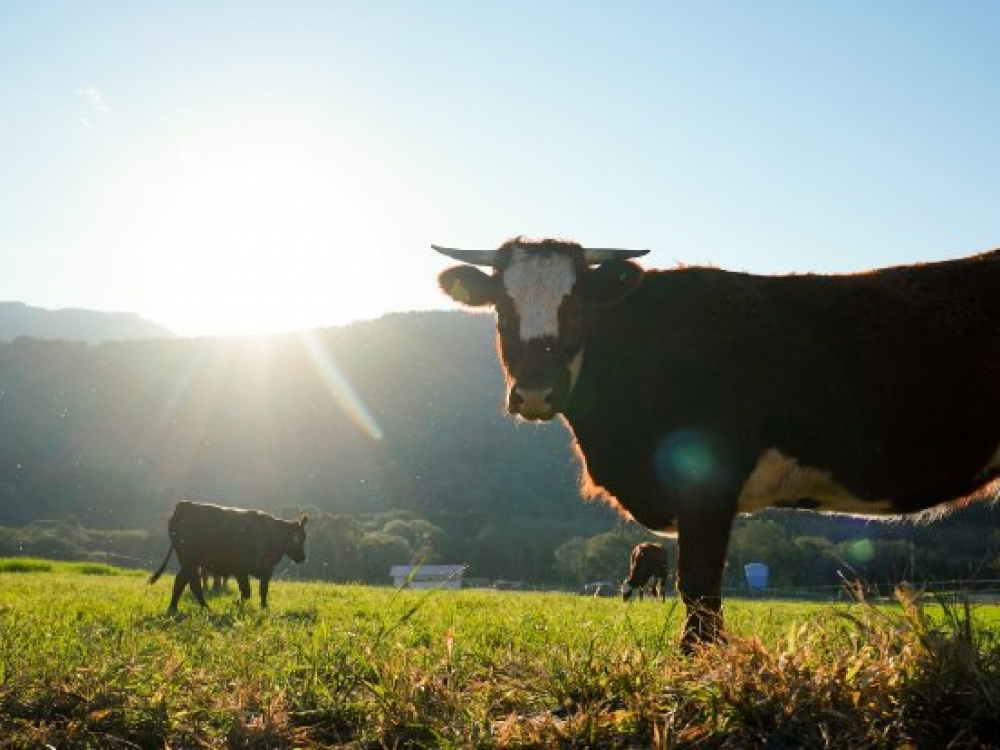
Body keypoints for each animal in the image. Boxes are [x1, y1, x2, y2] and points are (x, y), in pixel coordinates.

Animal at [146, 502, 306, 612]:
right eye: (302, 538)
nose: (304, 558)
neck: (273, 533)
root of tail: (184, 505)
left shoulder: (265, 570)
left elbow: (262, 590)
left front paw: (264, 608)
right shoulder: (243, 569)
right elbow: (248, 591)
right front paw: (238, 605)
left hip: (190, 563)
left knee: (186, 582)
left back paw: (184, 608)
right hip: (190, 560)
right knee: (188, 582)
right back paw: (193, 608)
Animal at [434, 239, 1000, 648]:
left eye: (575, 309)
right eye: (502, 310)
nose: (534, 392)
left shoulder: (708, 484)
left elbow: (700, 583)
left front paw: (699, 659)